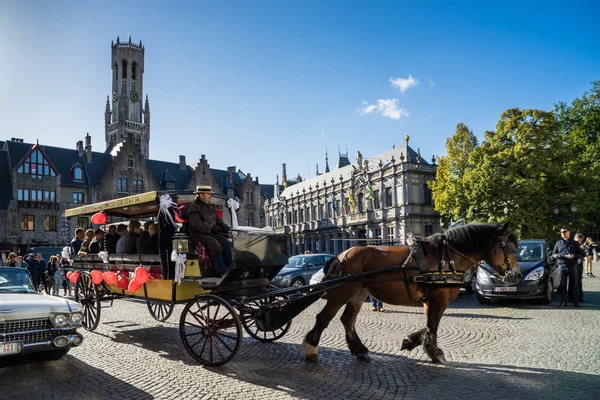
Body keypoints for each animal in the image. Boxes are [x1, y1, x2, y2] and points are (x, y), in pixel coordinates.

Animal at [304, 223, 520, 364]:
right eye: (506, 247)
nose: (516, 275)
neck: (447, 257)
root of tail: (339, 256)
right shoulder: (439, 300)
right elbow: (433, 326)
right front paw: (435, 353)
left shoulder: (429, 301)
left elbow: (428, 326)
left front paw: (411, 342)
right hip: (342, 293)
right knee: (324, 317)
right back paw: (311, 348)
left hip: (359, 293)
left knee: (348, 320)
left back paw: (360, 350)